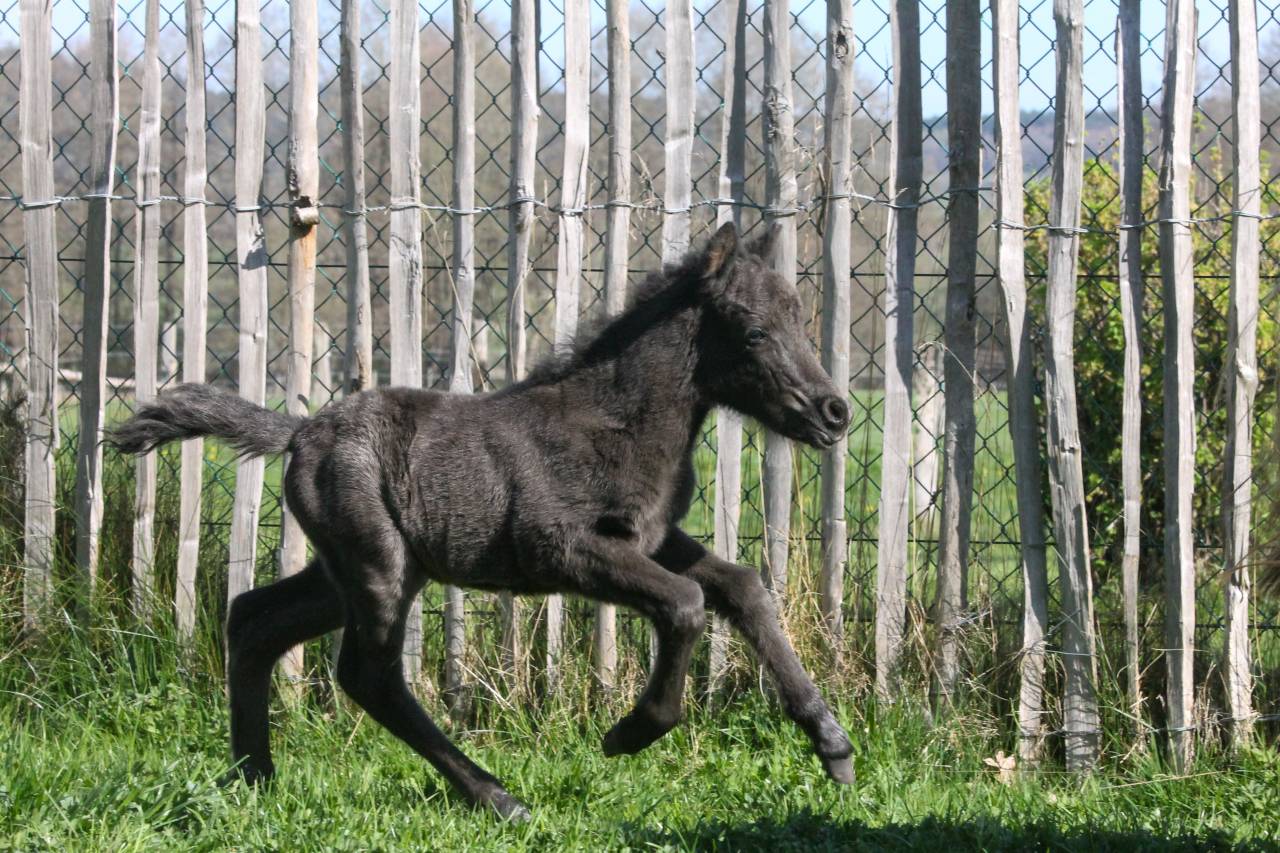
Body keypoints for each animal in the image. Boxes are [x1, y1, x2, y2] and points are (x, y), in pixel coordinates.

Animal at [110, 222, 855, 820]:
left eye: (798, 319)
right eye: (755, 332)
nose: (835, 412)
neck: (617, 421)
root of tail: (297, 434)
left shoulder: (653, 537)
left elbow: (742, 586)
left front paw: (833, 743)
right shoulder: (562, 549)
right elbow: (687, 603)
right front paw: (630, 732)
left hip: (344, 570)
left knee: (254, 620)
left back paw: (255, 777)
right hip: (380, 566)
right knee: (367, 674)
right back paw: (498, 797)